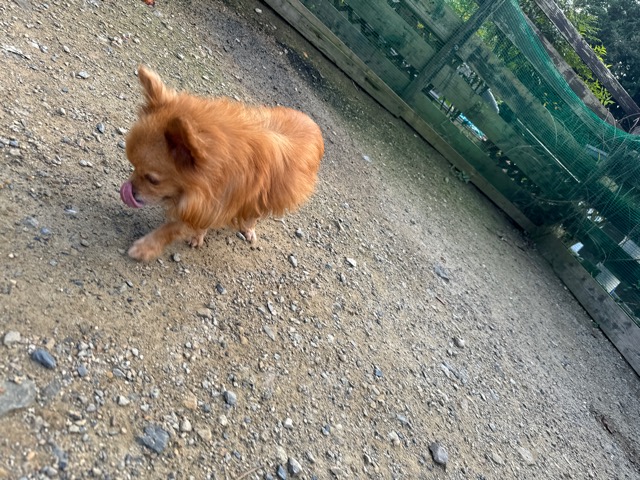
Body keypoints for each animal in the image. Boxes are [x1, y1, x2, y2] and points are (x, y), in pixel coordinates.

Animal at [120, 66, 324, 262]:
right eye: (133, 166)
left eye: (153, 180)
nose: (129, 191)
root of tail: (313, 123)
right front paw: (198, 236)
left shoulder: (218, 204)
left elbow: (172, 229)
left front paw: (146, 248)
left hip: (271, 195)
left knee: (255, 213)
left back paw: (248, 228)